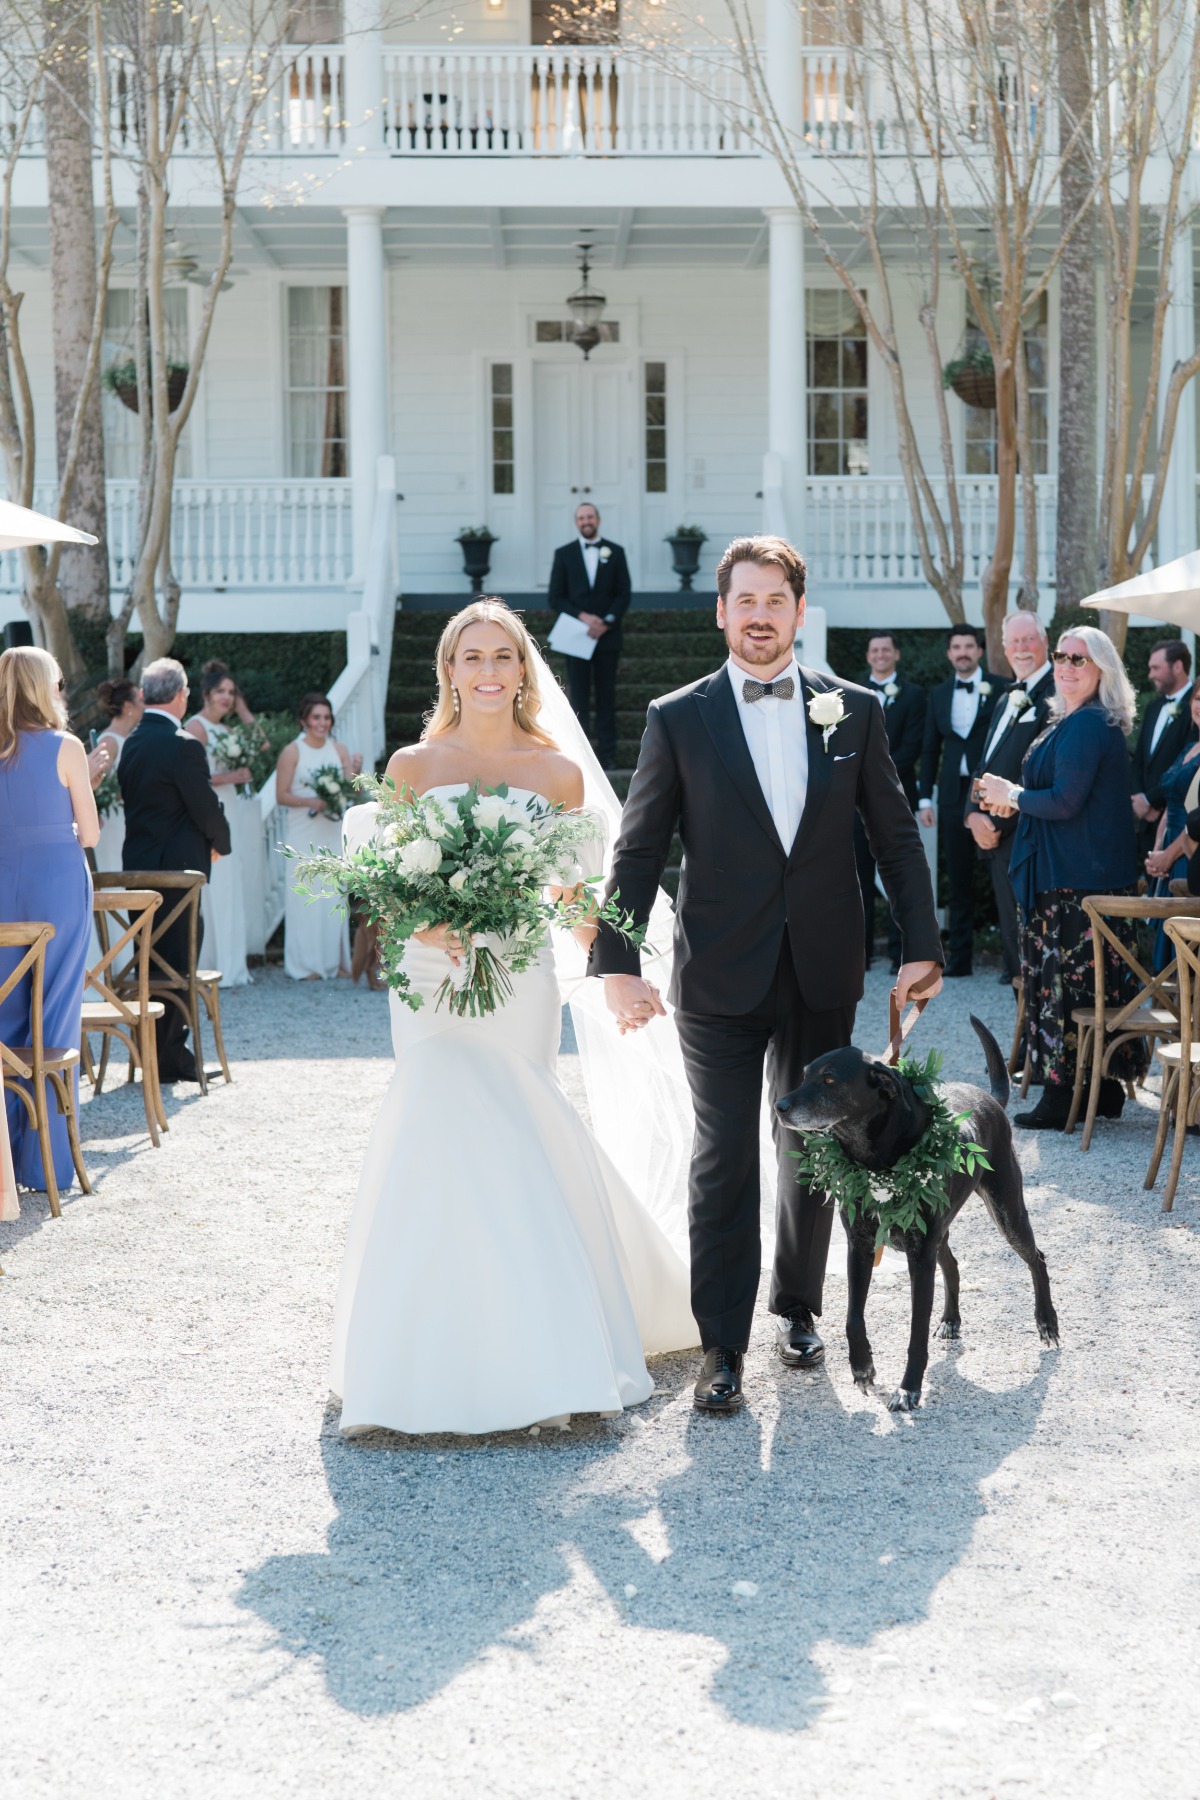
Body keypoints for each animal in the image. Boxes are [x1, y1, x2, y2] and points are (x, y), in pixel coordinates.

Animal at [773, 1015, 1057, 1404]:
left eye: (829, 1079)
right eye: (804, 1075)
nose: (779, 1106)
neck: (874, 1159)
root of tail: (990, 1099)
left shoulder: (919, 1256)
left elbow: (916, 1330)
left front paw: (908, 1388)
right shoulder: (861, 1245)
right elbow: (853, 1317)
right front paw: (862, 1368)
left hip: (1006, 1211)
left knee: (1037, 1258)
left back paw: (1047, 1322)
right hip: (939, 1232)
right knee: (953, 1264)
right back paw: (951, 1320)